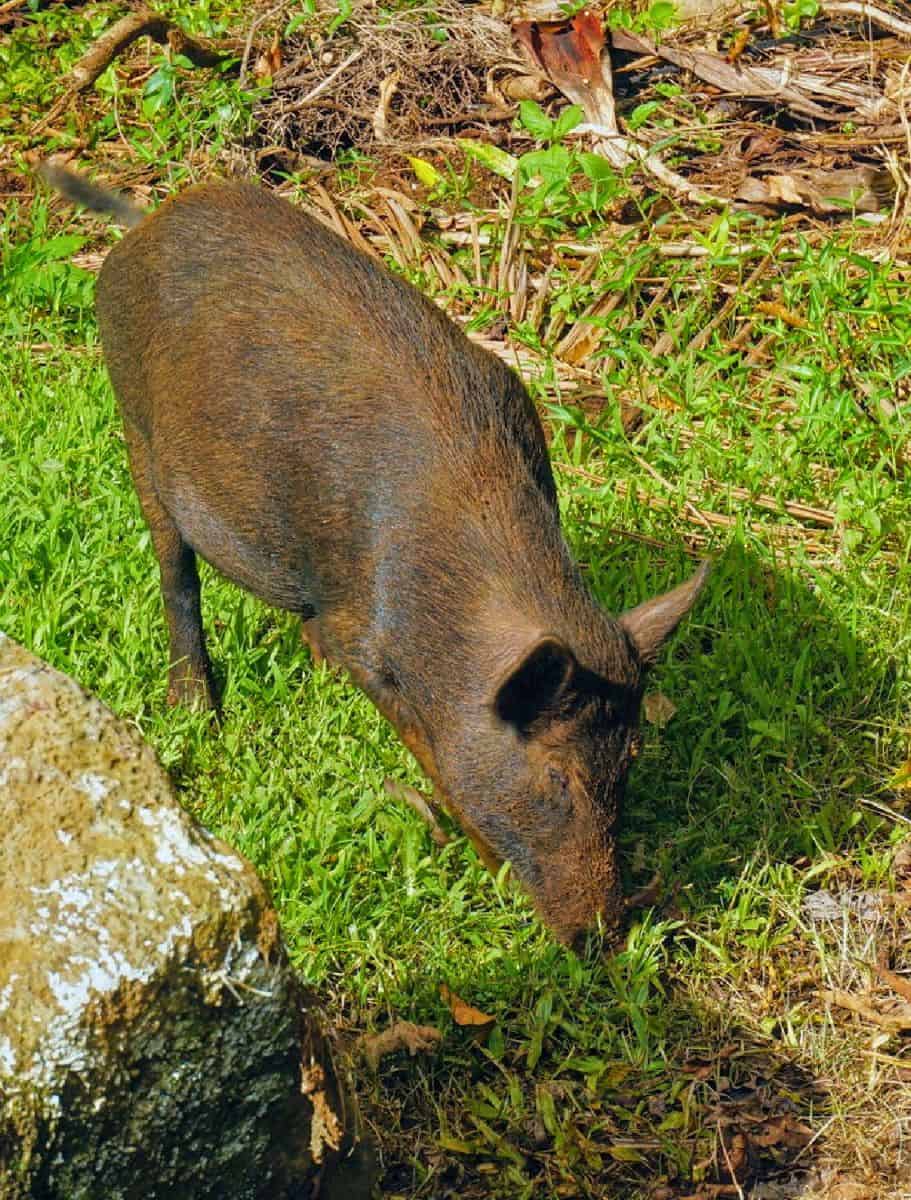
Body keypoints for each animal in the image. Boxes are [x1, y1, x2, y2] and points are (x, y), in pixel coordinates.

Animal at [40, 163, 709, 947]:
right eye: (555, 778)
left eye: (627, 763)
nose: (600, 934)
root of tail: (143, 224)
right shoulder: (368, 641)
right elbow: (435, 759)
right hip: (134, 423)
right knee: (175, 571)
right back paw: (198, 713)